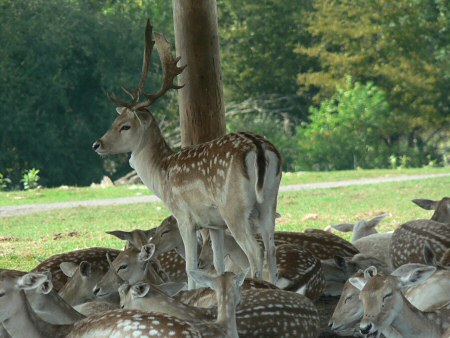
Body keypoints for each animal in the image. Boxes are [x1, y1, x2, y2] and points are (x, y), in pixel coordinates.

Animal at [91, 19, 282, 288]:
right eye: (115, 120)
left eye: (125, 125)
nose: (97, 144)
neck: (161, 174)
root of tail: (258, 148)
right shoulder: (214, 223)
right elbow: (218, 264)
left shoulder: (184, 216)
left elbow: (191, 266)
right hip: (269, 201)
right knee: (272, 248)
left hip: (234, 208)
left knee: (256, 251)